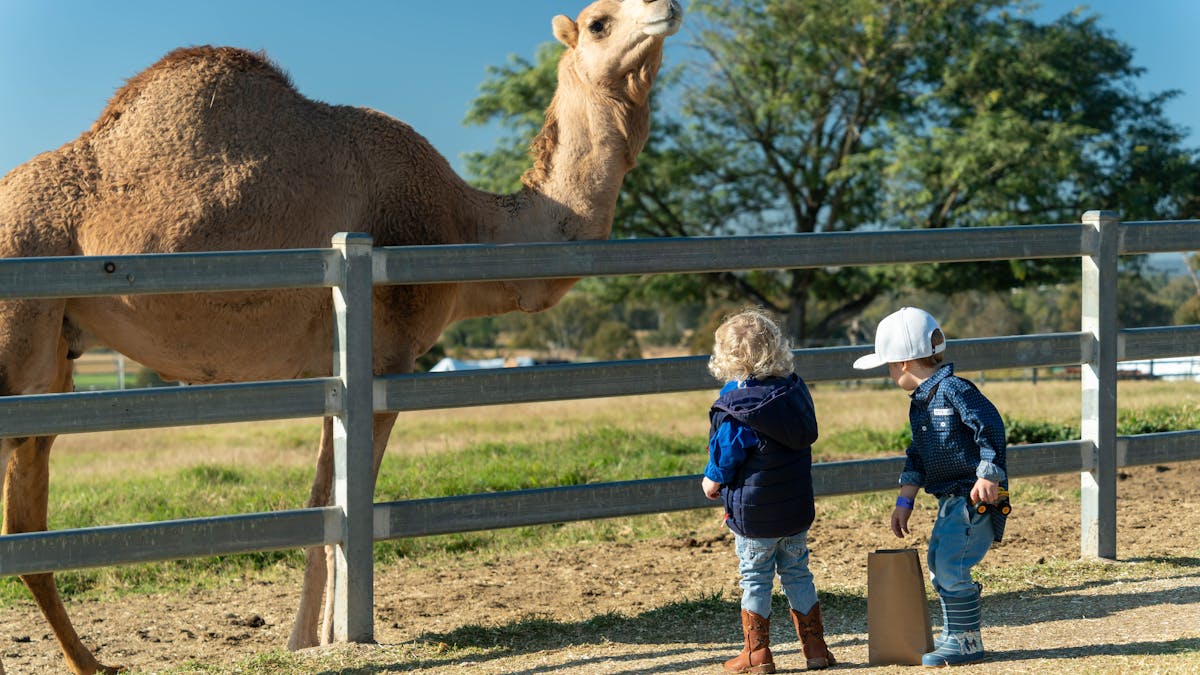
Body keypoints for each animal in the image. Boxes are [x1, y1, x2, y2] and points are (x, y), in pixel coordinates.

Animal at [0, 1, 682, 672]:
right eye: (598, 22)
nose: (667, 8)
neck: (466, 222)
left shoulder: (335, 367)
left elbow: (323, 498)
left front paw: (305, 641)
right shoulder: (383, 356)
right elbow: (346, 498)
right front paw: (333, 638)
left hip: (56, 356)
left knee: (29, 502)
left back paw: (92, 661)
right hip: (18, 332)